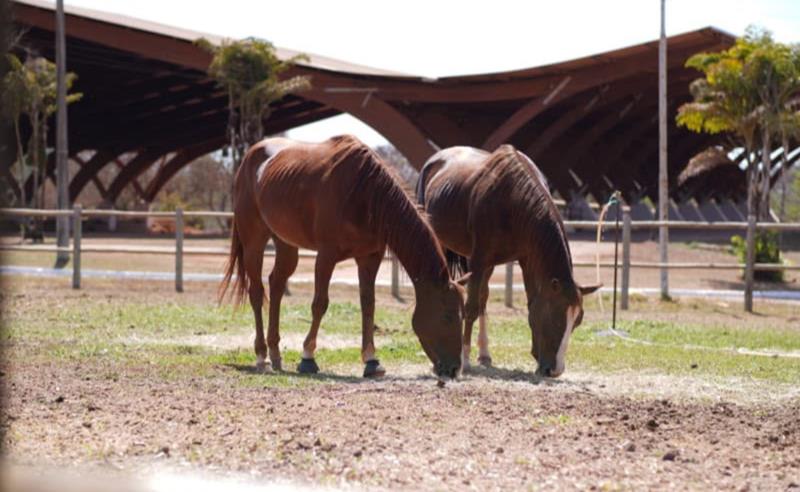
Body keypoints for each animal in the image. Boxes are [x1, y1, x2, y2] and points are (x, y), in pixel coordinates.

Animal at [220, 135, 465, 380]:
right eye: (447, 316)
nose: (454, 369)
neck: (364, 194)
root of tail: (250, 156)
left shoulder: (369, 258)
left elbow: (368, 305)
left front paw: (371, 361)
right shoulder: (326, 256)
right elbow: (320, 304)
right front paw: (307, 357)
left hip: (286, 243)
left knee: (276, 284)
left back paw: (275, 353)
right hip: (254, 240)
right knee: (256, 292)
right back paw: (262, 356)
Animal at [417, 145, 600, 377]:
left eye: (577, 321)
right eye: (556, 318)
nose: (555, 370)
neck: (513, 200)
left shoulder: (525, 259)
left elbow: (529, 304)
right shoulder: (479, 260)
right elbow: (471, 308)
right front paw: (464, 359)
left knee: (483, 297)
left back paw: (484, 354)